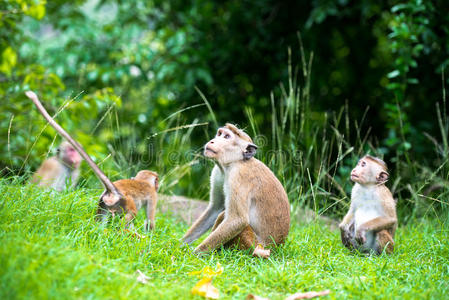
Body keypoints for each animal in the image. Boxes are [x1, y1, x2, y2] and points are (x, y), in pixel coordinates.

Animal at [25, 90, 159, 231]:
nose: (75, 157)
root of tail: (113, 190)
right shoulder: (153, 196)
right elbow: (150, 221)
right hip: (125, 202)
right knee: (131, 215)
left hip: (103, 202)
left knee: (101, 221)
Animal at [182, 123, 290, 253]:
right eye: (220, 134)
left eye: (227, 137)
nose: (212, 141)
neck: (234, 162)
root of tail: (276, 248)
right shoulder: (218, 172)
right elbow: (216, 208)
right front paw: (179, 245)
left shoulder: (238, 176)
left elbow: (237, 220)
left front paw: (194, 254)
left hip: (251, 245)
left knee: (224, 216)